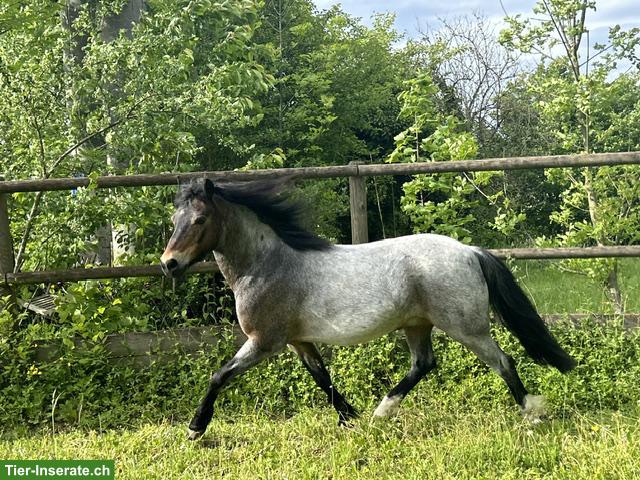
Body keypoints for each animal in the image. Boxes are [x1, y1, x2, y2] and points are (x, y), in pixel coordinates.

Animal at [160, 177, 576, 440]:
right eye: (174, 219)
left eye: (200, 219)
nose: (169, 264)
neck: (267, 265)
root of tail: (470, 251)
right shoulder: (298, 340)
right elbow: (322, 378)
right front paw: (350, 418)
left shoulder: (265, 341)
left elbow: (219, 376)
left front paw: (195, 428)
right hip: (417, 324)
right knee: (423, 364)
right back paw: (381, 413)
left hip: (466, 328)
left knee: (503, 361)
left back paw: (532, 416)